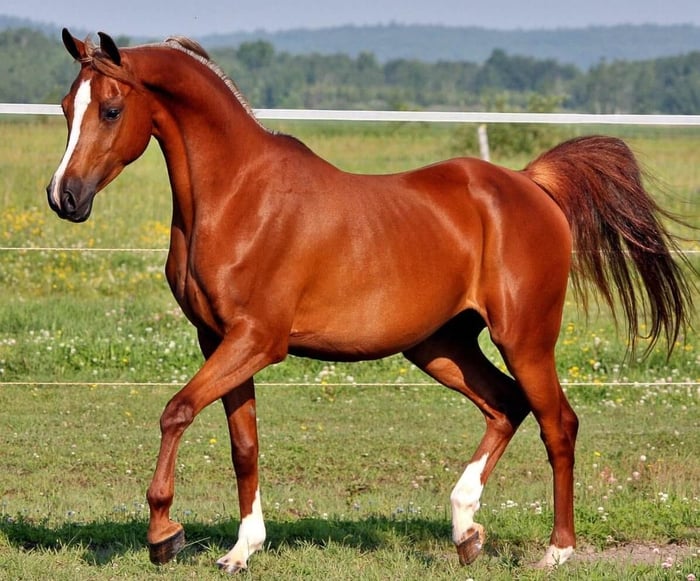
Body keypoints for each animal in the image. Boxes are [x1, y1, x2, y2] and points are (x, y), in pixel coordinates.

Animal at [47, 29, 693, 573]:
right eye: (65, 107)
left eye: (111, 109)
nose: (64, 197)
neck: (238, 196)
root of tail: (531, 185)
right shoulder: (220, 341)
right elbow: (243, 445)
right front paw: (241, 550)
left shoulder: (257, 340)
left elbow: (176, 411)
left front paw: (164, 534)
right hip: (441, 346)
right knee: (505, 405)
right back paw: (465, 530)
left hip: (525, 338)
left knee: (557, 422)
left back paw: (557, 551)